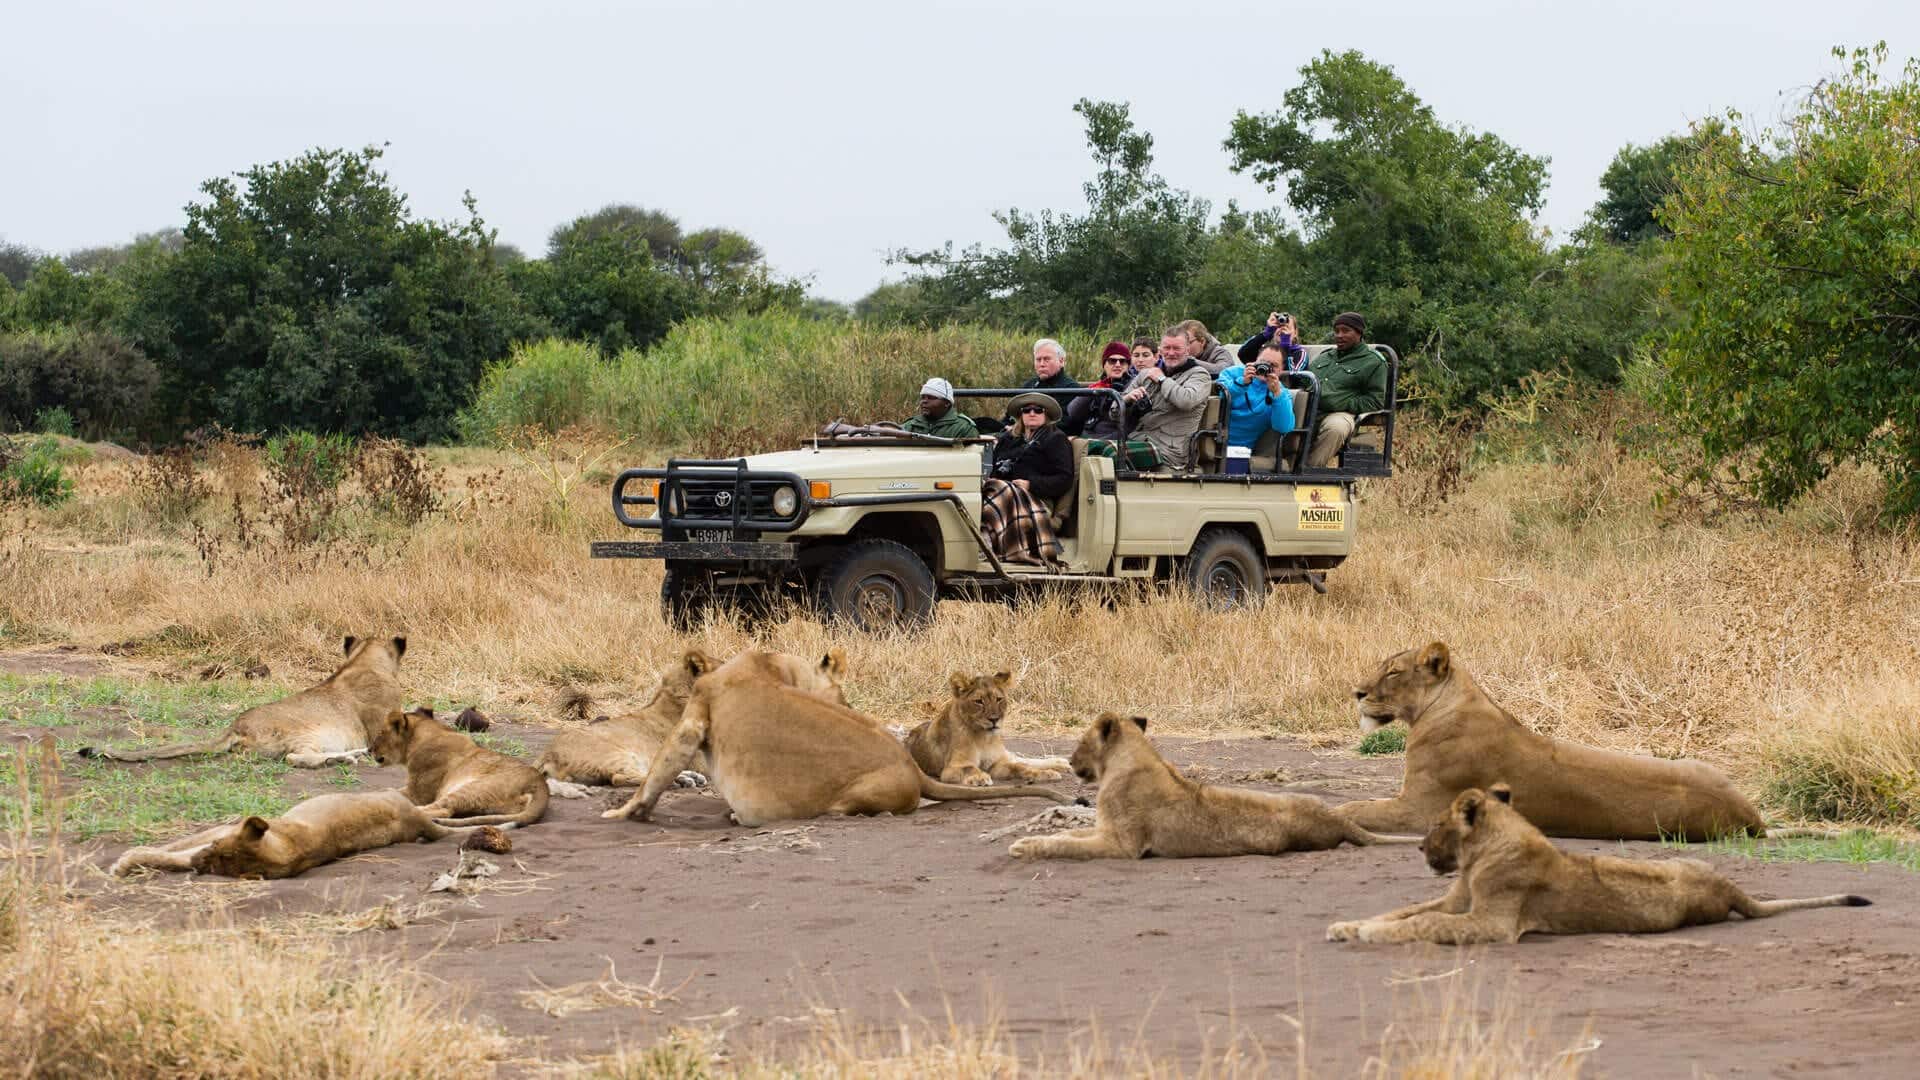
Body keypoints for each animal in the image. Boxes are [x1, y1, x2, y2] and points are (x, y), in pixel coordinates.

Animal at [370, 706, 549, 827]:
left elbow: (386, 790)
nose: (369, 749)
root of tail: (541, 785)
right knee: (447, 811)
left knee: (441, 808)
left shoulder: (418, 794)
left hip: (473, 788)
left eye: (380, 733)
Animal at [904, 670, 1070, 786]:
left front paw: (1045, 774)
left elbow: (1020, 767)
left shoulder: (997, 763)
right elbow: (970, 768)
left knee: (1022, 759)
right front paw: (979, 777)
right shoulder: (952, 768)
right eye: (979, 701)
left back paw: (1060, 763)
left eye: (999, 699)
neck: (983, 737)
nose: (994, 719)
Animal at [1008, 713, 1416, 860]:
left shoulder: (1122, 845)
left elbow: (1066, 844)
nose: (1070, 762)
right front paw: (1032, 838)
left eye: (1080, 741)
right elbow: (1069, 836)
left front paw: (1024, 846)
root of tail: (1334, 818)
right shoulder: (1104, 831)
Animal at [1326, 784, 1871, 944]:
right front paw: (1347, 925)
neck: (1476, 855)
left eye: (1437, 823)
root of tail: (1730, 887)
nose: (1419, 850)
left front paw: (1369, 934)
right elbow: (1408, 911)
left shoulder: (1493, 923)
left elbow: (1426, 923)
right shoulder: (1455, 900)